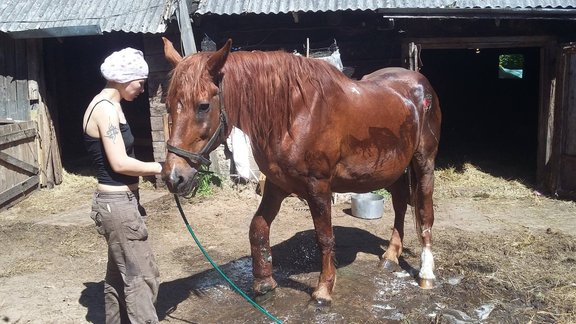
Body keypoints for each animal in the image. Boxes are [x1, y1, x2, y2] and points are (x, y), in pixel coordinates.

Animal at [162, 37, 440, 304]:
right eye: (168, 105)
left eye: (203, 106)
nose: (174, 177)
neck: (294, 113)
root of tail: (420, 83)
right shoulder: (276, 185)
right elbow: (258, 228)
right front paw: (264, 283)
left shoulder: (319, 186)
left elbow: (325, 238)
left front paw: (323, 291)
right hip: (393, 168)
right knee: (400, 204)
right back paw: (391, 255)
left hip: (423, 163)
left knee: (425, 213)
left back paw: (426, 274)